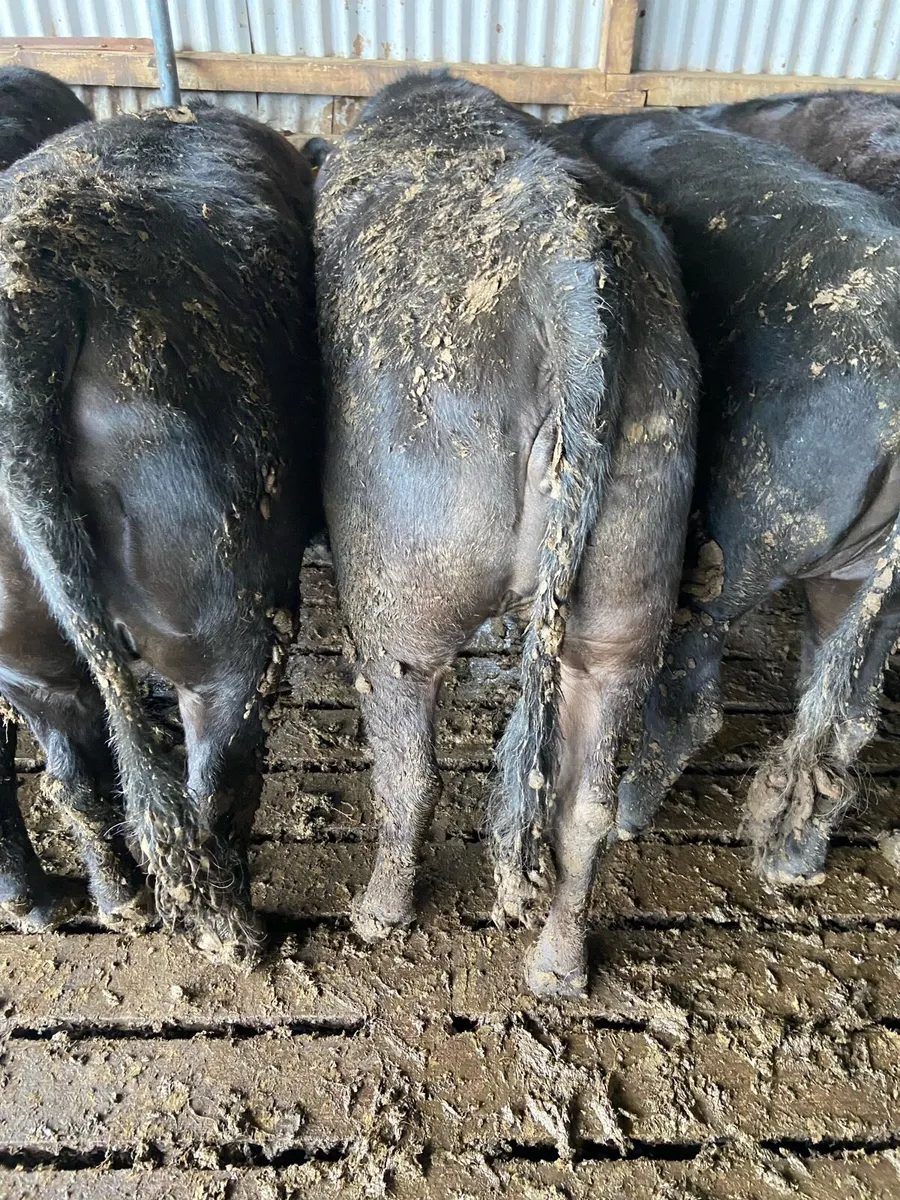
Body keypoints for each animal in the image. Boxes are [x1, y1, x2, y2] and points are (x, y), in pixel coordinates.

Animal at [0, 102, 319, 961]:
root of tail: (31, 299)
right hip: (221, 625)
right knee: (210, 774)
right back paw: (235, 934)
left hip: (27, 654)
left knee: (77, 772)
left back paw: (103, 904)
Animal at [315, 73, 698, 997]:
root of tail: (567, 263)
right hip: (630, 587)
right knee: (587, 800)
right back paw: (558, 968)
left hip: (400, 582)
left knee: (408, 765)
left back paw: (378, 913)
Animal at [563, 108, 900, 890]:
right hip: (869, 581)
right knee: (847, 712)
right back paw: (795, 864)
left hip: (748, 532)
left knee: (694, 696)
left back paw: (628, 817)